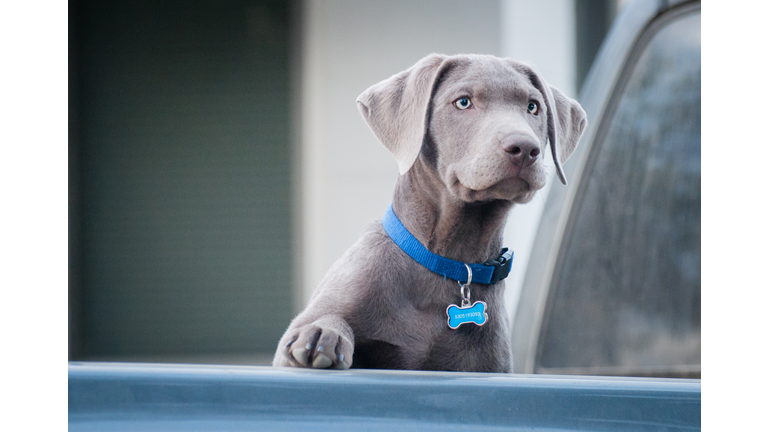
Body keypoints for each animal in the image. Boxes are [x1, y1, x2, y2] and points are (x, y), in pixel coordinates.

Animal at [274, 53, 588, 372]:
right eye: (463, 102)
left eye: (533, 106)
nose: (524, 147)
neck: (451, 261)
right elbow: (326, 318)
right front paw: (320, 331)